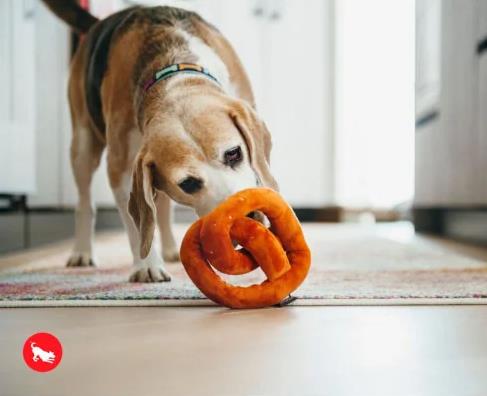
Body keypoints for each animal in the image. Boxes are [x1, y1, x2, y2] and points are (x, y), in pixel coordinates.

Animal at [43, 1, 280, 284]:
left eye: (234, 153)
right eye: (188, 184)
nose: (249, 219)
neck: (174, 69)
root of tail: (97, 23)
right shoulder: (121, 169)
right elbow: (138, 226)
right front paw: (147, 266)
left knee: (163, 206)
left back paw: (170, 249)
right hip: (82, 145)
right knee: (85, 204)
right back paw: (82, 252)